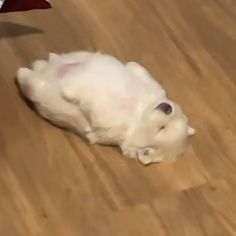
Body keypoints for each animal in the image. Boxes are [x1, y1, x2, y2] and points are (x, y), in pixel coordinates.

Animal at [15, 50, 195, 165]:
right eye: (173, 113)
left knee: (27, 77)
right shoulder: (147, 81)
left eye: (161, 129)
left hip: (35, 86)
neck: (140, 111)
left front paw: (69, 91)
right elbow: (137, 68)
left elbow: (88, 99)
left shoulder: (109, 119)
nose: (167, 108)